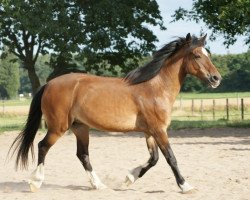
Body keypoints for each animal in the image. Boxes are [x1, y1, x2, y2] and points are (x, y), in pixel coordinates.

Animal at [9, 33, 221, 193]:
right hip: (58, 127)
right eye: (196, 55)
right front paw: (185, 186)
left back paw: (98, 185)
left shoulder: (150, 132)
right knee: (43, 146)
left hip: (80, 127)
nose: (216, 78)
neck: (155, 88)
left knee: (83, 155)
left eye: (207, 54)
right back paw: (35, 182)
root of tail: (49, 84)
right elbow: (170, 158)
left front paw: (128, 179)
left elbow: (154, 159)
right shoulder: (159, 130)